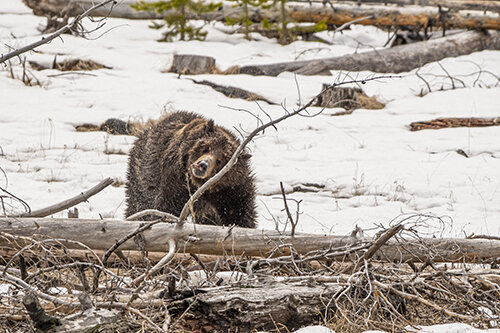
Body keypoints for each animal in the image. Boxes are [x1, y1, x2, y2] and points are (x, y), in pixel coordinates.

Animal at [125, 110, 258, 227]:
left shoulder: (232, 189)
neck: (201, 186)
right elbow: (167, 206)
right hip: (144, 172)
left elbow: (240, 213)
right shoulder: (177, 180)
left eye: (220, 160)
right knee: (140, 203)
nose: (203, 165)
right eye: (206, 147)